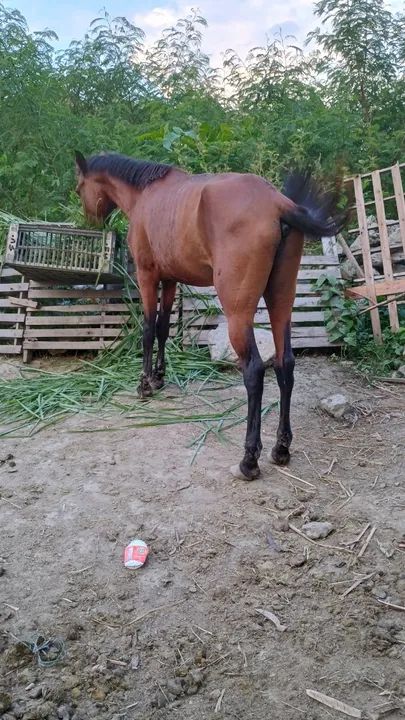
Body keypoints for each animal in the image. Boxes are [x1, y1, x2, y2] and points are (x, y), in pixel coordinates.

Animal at [74, 151, 346, 480]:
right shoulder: (170, 280)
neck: (146, 195)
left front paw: (144, 384)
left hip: (238, 313)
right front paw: (159, 377)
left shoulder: (147, 277)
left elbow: (148, 330)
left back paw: (249, 460)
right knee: (285, 365)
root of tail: (278, 204)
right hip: (281, 302)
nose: (90, 221)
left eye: (79, 188)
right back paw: (281, 448)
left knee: (254, 371)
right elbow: (163, 328)